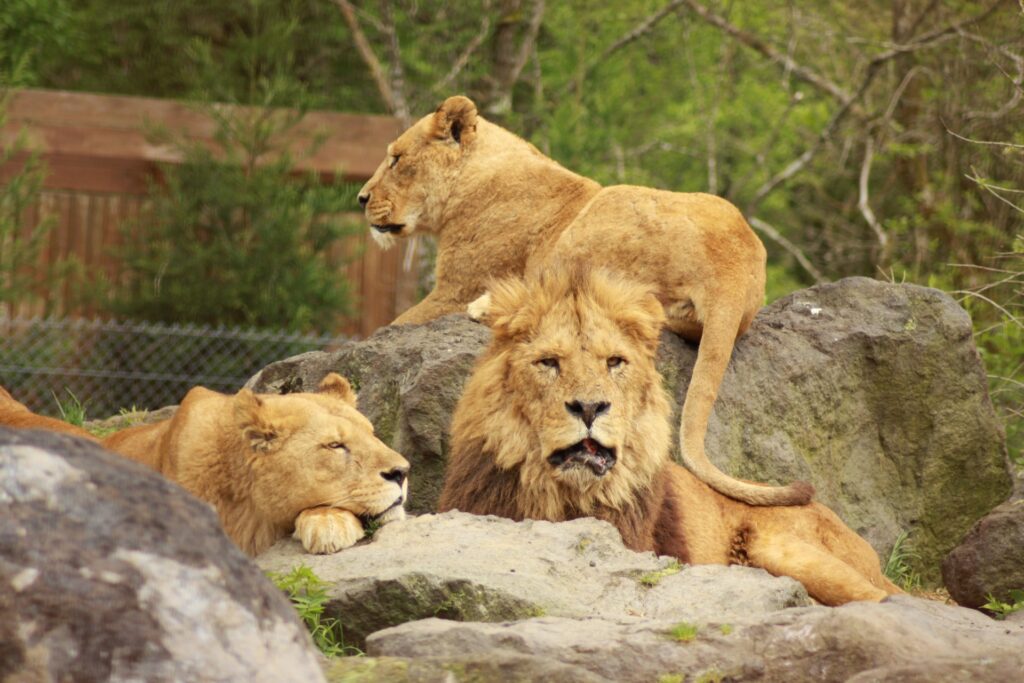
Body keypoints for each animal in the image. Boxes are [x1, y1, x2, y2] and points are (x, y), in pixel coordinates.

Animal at [358, 95, 810, 507]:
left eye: (396, 159)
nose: (361, 199)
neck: (477, 174)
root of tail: (734, 261)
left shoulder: (456, 287)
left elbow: (393, 323)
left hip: (592, 230)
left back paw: (490, 307)